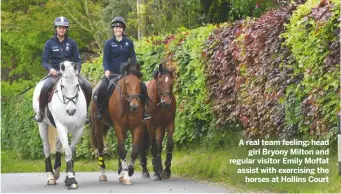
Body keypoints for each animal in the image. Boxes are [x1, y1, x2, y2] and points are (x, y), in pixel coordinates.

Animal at [32, 61, 86, 189]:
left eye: (77, 85)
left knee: (57, 144)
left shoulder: (79, 129)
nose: (71, 111)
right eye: (62, 86)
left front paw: (69, 177)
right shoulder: (62, 127)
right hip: (43, 125)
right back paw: (51, 177)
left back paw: (56, 171)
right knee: (46, 148)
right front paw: (71, 179)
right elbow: (68, 151)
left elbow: (71, 150)